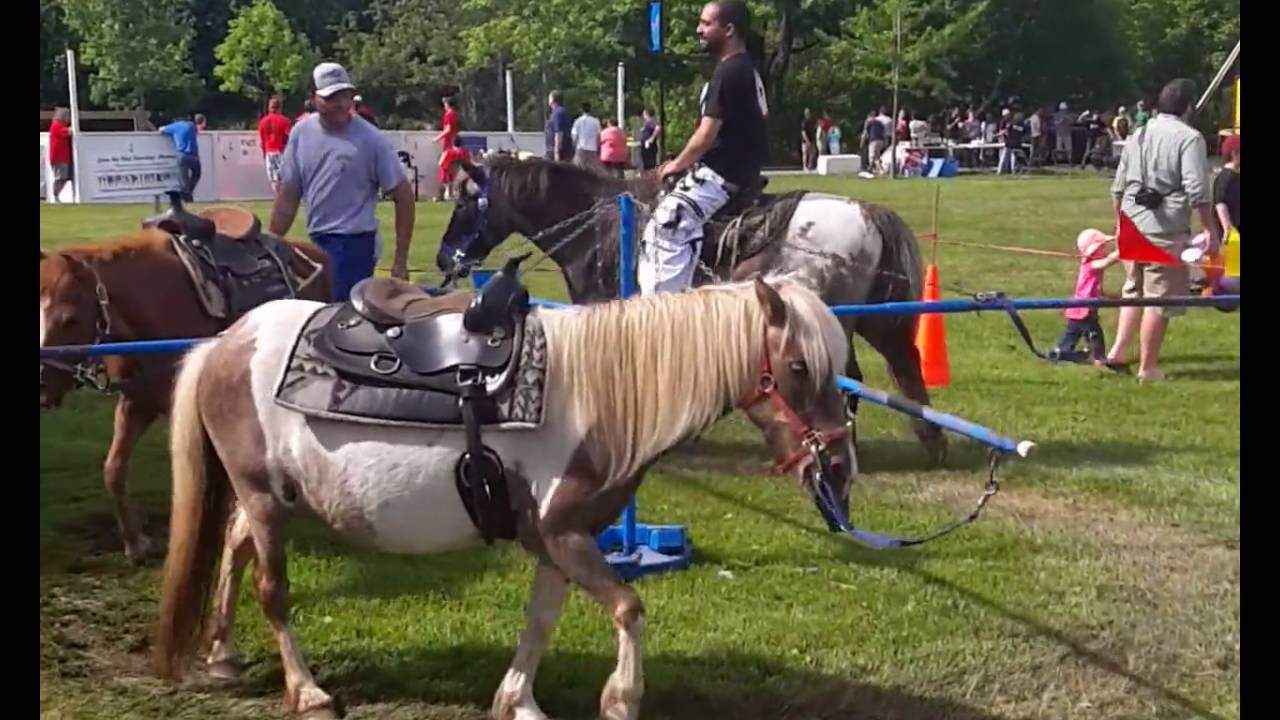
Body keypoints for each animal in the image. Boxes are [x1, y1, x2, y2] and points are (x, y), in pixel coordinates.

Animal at [152, 276, 855, 720]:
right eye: (798, 368)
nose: (840, 468)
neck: (602, 396)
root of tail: (225, 343)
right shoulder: (564, 535)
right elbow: (630, 609)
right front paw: (621, 700)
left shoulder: (559, 539)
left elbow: (540, 620)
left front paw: (516, 701)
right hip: (265, 498)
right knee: (272, 588)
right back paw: (308, 694)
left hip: (272, 498)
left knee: (234, 547)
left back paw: (223, 654)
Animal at [434, 157, 947, 464]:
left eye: (463, 201)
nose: (443, 259)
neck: (599, 228)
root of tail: (865, 210)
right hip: (871, 318)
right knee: (888, 369)